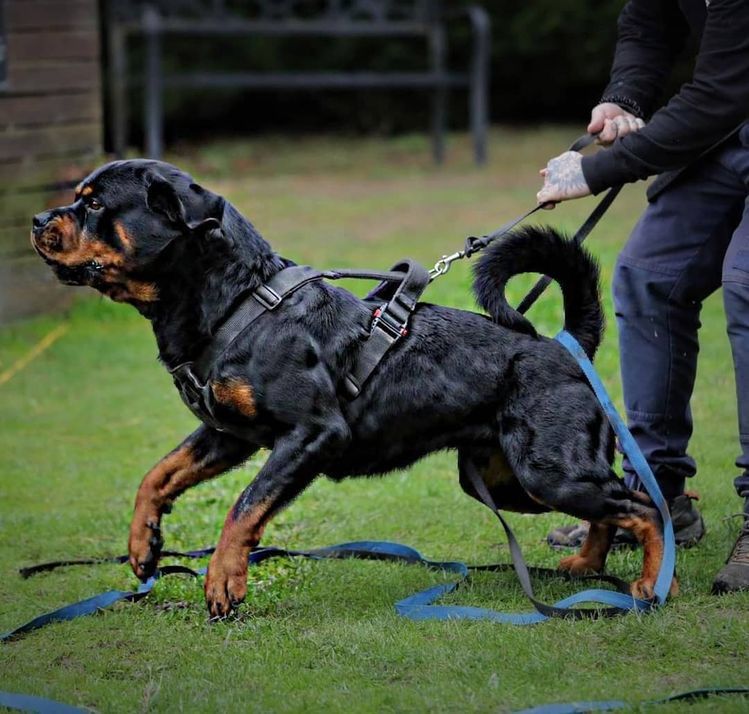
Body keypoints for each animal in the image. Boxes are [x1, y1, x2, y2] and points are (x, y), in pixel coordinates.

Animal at [29, 161, 676, 616]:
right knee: (613, 505)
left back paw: (648, 584)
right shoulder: (227, 434)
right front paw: (144, 545)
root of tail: (564, 346)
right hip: (505, 480)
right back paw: (587, 564)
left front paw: (223, 580)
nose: (37, 220)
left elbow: (243, 511)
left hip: (547, 471)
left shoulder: (311, 435)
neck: (239, 300)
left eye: (94, 204)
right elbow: (157, 476)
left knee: (642, 505)